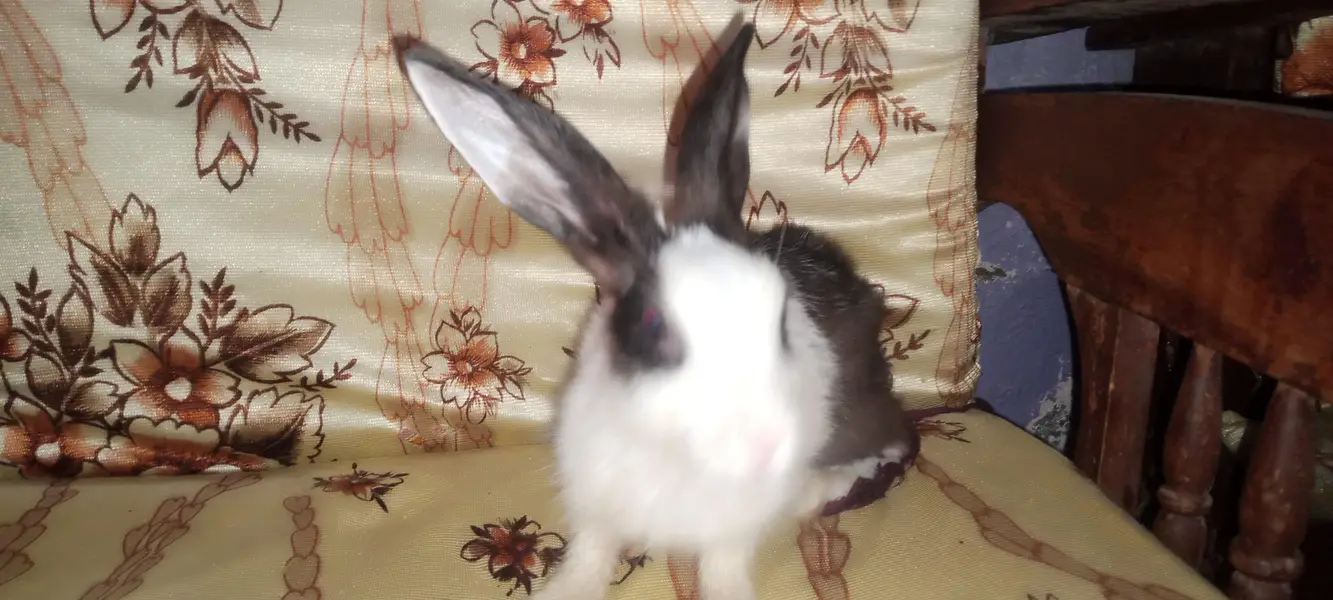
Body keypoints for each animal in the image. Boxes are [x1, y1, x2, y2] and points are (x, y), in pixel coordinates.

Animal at [399, 19, 916, 600]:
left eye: (780, 312)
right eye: (652, 324)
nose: (766, 447)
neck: (674, 452)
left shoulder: (732, 528)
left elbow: (722, 565)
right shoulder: (595, 502)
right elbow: (592, 552)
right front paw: (568, 589)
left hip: (861, 414)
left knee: (889, 444)